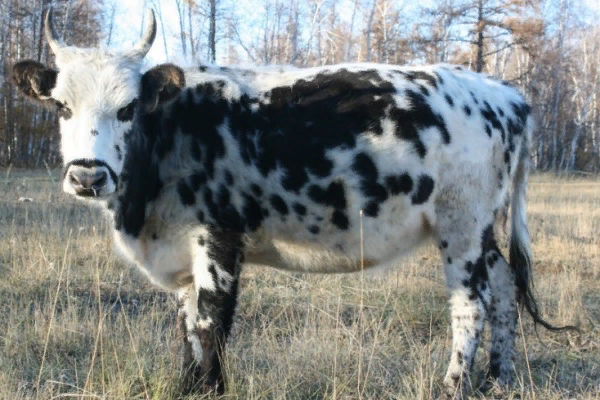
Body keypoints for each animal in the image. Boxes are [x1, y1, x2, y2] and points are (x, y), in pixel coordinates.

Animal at [10, 10, 572, 400]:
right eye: (61, 106)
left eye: (127, 108)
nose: (87, 175)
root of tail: (504, 94)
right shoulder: (182, 254)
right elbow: (187, 331)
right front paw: (188, 386)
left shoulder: (218, 242)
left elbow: (211, 324)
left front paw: (209, 388)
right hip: (483, 229)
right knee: (505, 288)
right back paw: (499, 379)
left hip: (462, 224)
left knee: (470, 305)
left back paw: (454, 386)